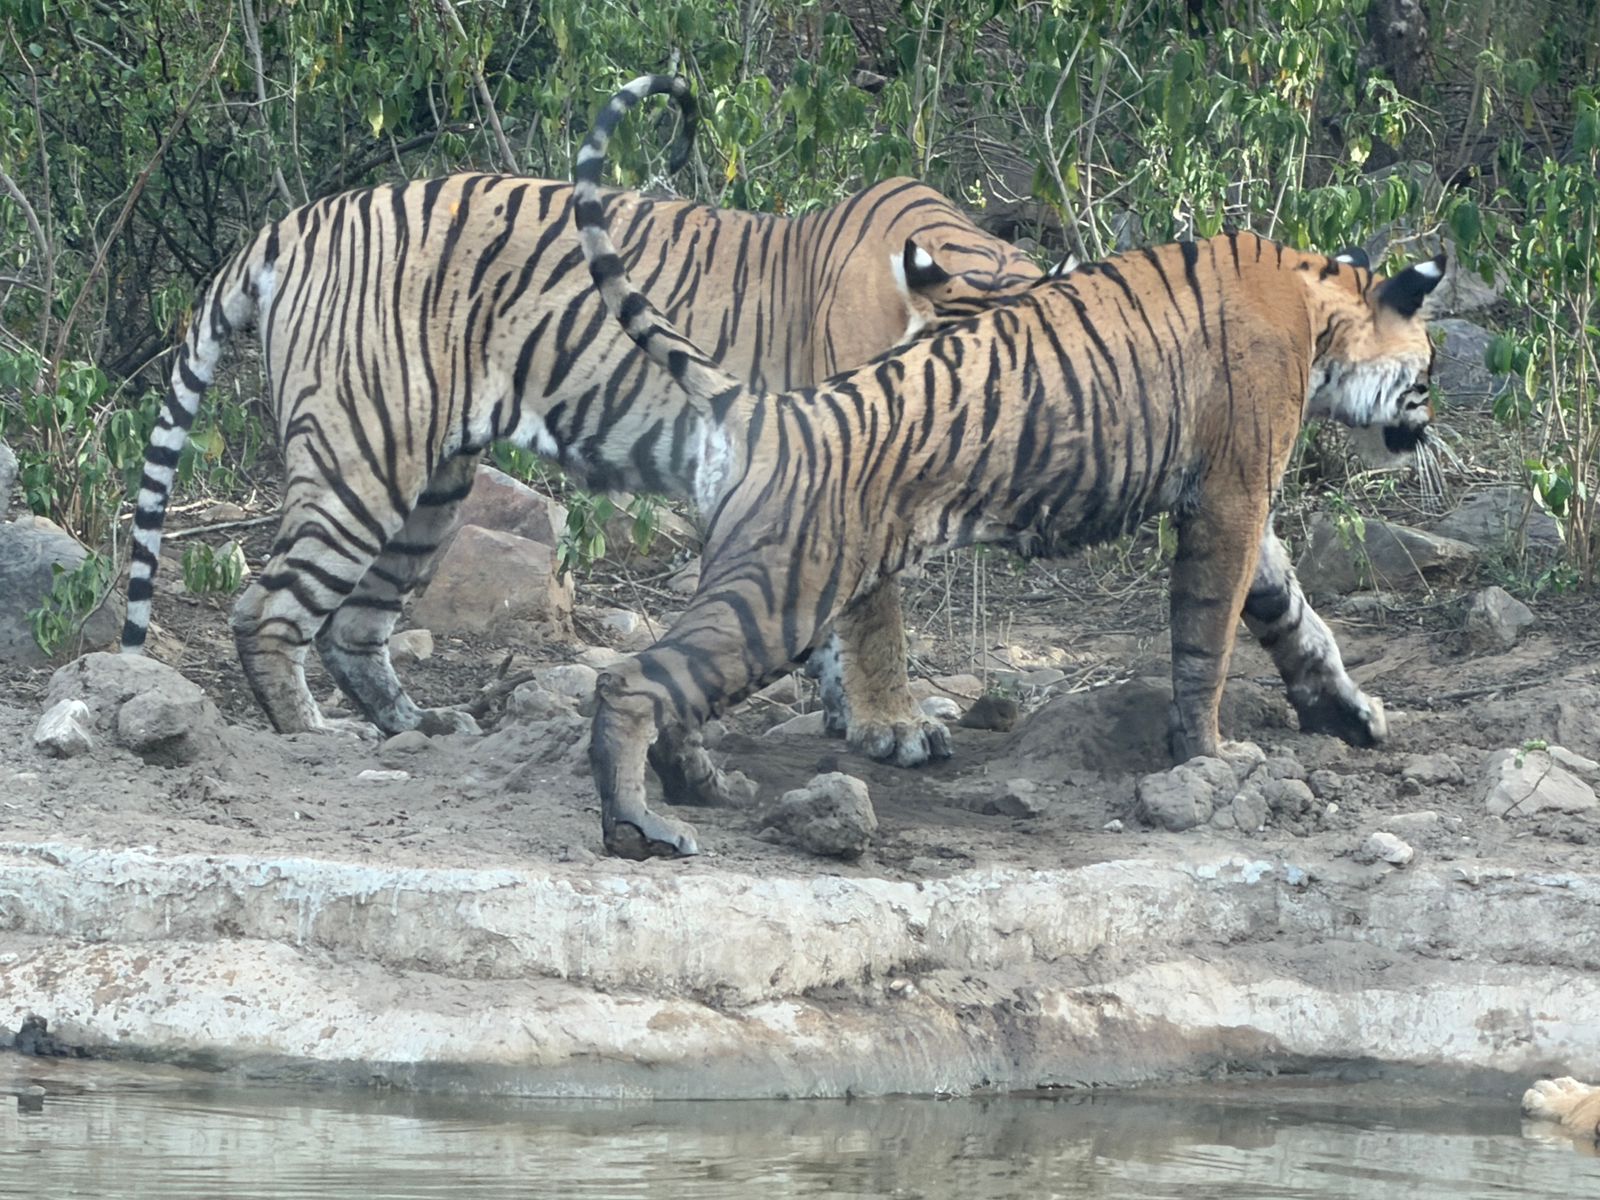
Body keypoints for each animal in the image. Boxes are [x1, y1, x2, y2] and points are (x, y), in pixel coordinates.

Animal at [117, 77, 1040, 799]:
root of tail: (299, 221)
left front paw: (850, 711)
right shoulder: (851, 480)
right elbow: (875, 617)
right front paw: (894, 726)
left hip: (431, 487)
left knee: (353, 626)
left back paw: (423, 723)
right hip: (364, 456)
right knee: (270, 607)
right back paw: (313, 732)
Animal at [571, 75, 1446, 859]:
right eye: (1429, 371)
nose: (1430, 427)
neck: (1315, 301)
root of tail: (762, 404)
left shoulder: (1228, 494)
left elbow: (1290, 611)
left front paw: (1348, 712)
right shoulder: (1233, 490)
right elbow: (1210, 636)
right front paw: (1208, 754)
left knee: (672, 690)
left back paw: (701, 786)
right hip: (784, 592)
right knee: (631, 683)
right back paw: (638, 825)